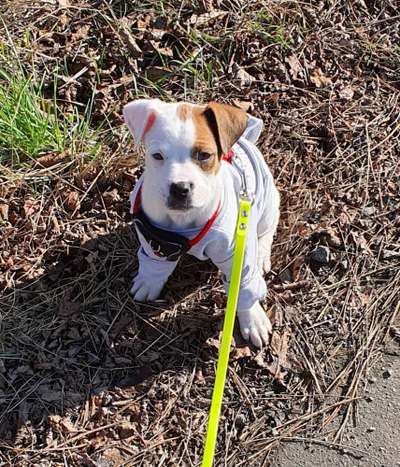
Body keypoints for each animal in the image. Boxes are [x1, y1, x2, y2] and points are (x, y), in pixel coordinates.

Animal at [123, 99, 280, 348]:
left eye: (204, 155)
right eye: (157, 156)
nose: (180, 188)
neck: (184, 222)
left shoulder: (236, 255)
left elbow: (243, 285)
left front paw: (252, 318)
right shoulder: (154, 238)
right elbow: (155, 264)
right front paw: (149, 281)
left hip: (267, 203)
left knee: (266, 231)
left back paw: (262, 256)